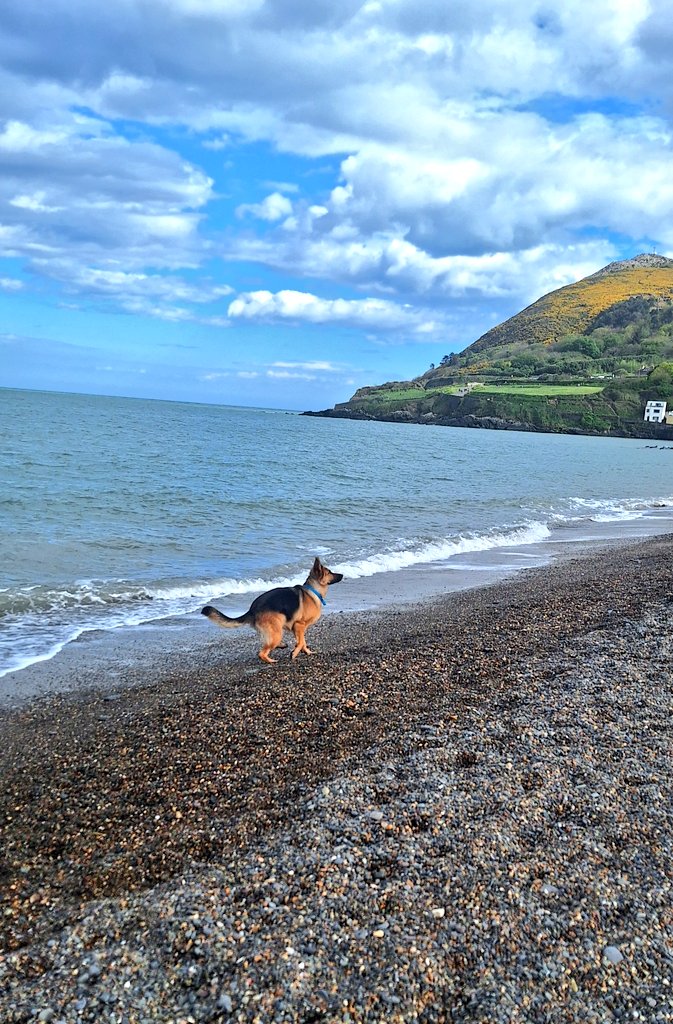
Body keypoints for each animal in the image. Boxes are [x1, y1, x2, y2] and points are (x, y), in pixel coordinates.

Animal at [200, 561, 344, 663]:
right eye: (330, 572)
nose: (342, 575)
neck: (313, 590)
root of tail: (252, 609)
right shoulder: (299, 625)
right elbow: (301, 641)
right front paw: (295, 653)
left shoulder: (298, 628)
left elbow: (302, 641)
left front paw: (306, 652)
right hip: (276, 632)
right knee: (262, 653)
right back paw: (271, 660)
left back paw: (280, 647)